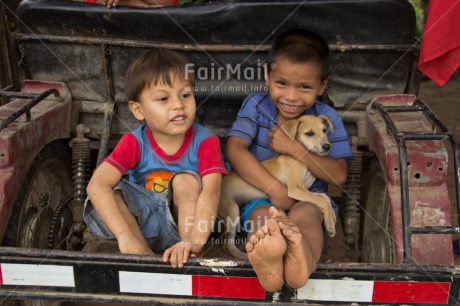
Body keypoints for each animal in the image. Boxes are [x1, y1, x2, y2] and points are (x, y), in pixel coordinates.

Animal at [217, 116, 336, 260]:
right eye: (309, 133)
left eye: (324, 130)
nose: (327, 146)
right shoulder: (295, 189)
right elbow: (322, 201)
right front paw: (330, 226)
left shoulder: (304, 190)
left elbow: (324, 198)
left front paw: (332, 218)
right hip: (232, 210)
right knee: (226, 245)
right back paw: (244, 255)